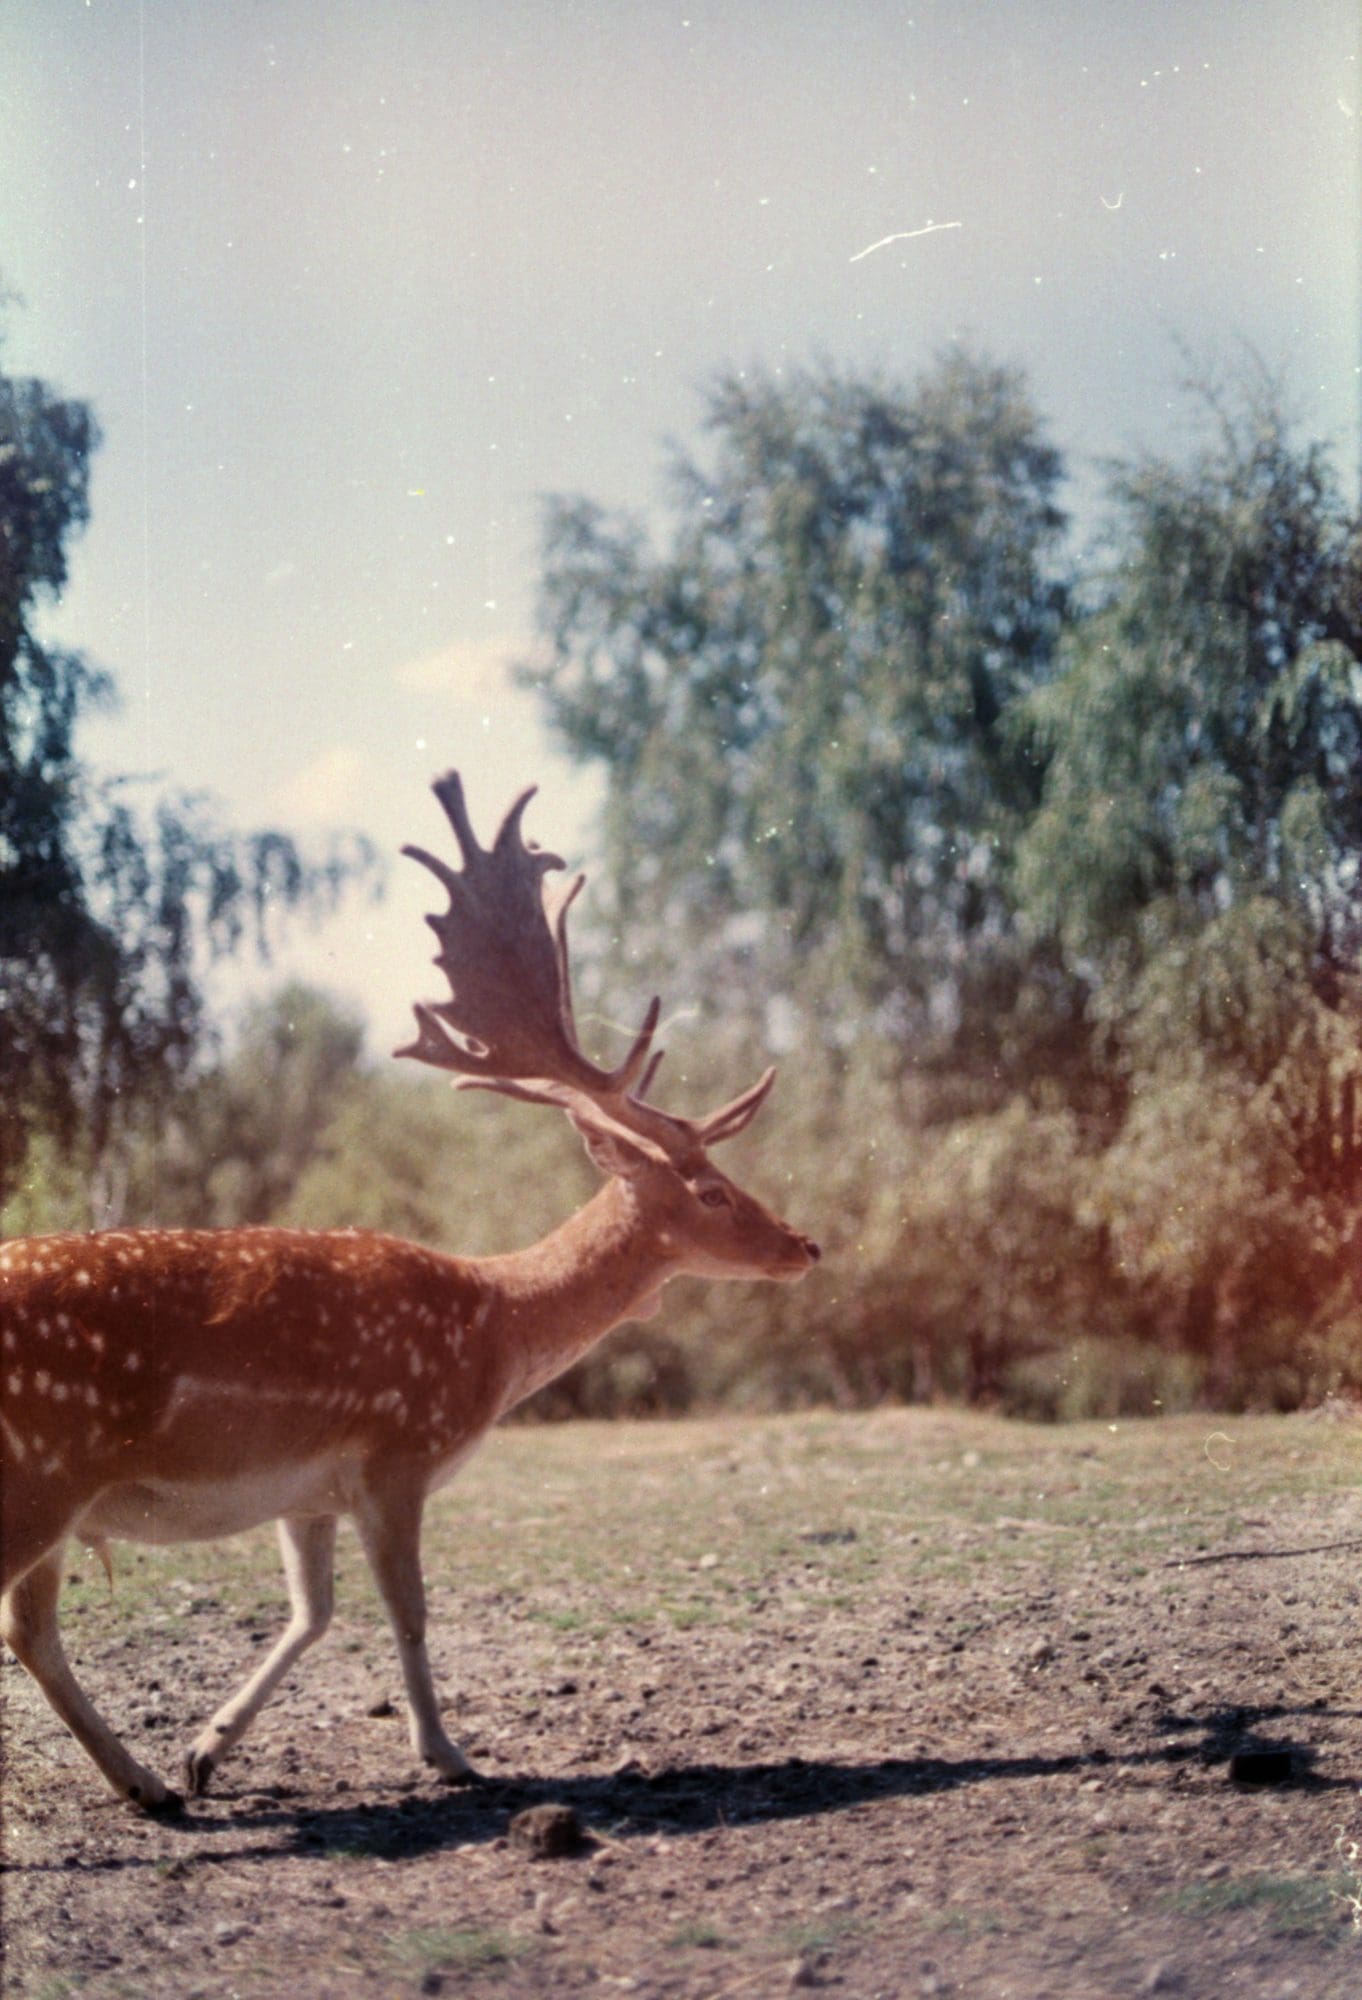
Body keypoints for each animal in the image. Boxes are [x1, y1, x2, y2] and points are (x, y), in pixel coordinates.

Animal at [0, 771, 819, 1812]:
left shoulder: (309, 1484)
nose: (805, 1244)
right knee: (24, 1626)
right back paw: (145, 1781)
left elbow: (312, 1613)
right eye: (712, 1191)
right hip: (39, 1473)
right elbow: (410, 1610)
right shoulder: (400, 1446)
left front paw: (206, 1749)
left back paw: (149, 1782)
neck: (495, 1328)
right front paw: (450, 1753)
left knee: (30, 1630)